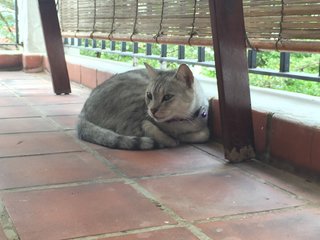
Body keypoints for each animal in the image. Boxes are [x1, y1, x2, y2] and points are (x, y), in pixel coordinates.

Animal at [77, 62, 210, 149]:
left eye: (167, 97)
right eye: (149, 95)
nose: (152, 110)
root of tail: (83, 111)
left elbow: (204, 134)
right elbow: (160, 134)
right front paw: (174, 139)